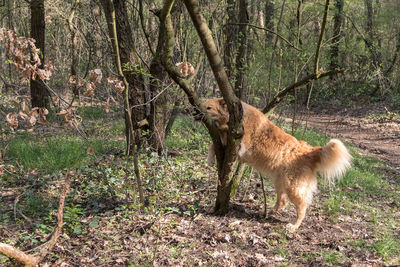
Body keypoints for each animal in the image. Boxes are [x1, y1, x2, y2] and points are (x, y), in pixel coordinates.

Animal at [202, 99, 352, 232]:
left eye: (209, 108)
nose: (196, 111)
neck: (236, 117)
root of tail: (310, 151)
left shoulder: (239, 143)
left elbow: (221, 135)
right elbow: (213, 144)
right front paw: (210, 158)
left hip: (293, 188)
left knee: (302, 208)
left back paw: (294, 226)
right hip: (280, 183)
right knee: (282, 201)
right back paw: (267, 212)